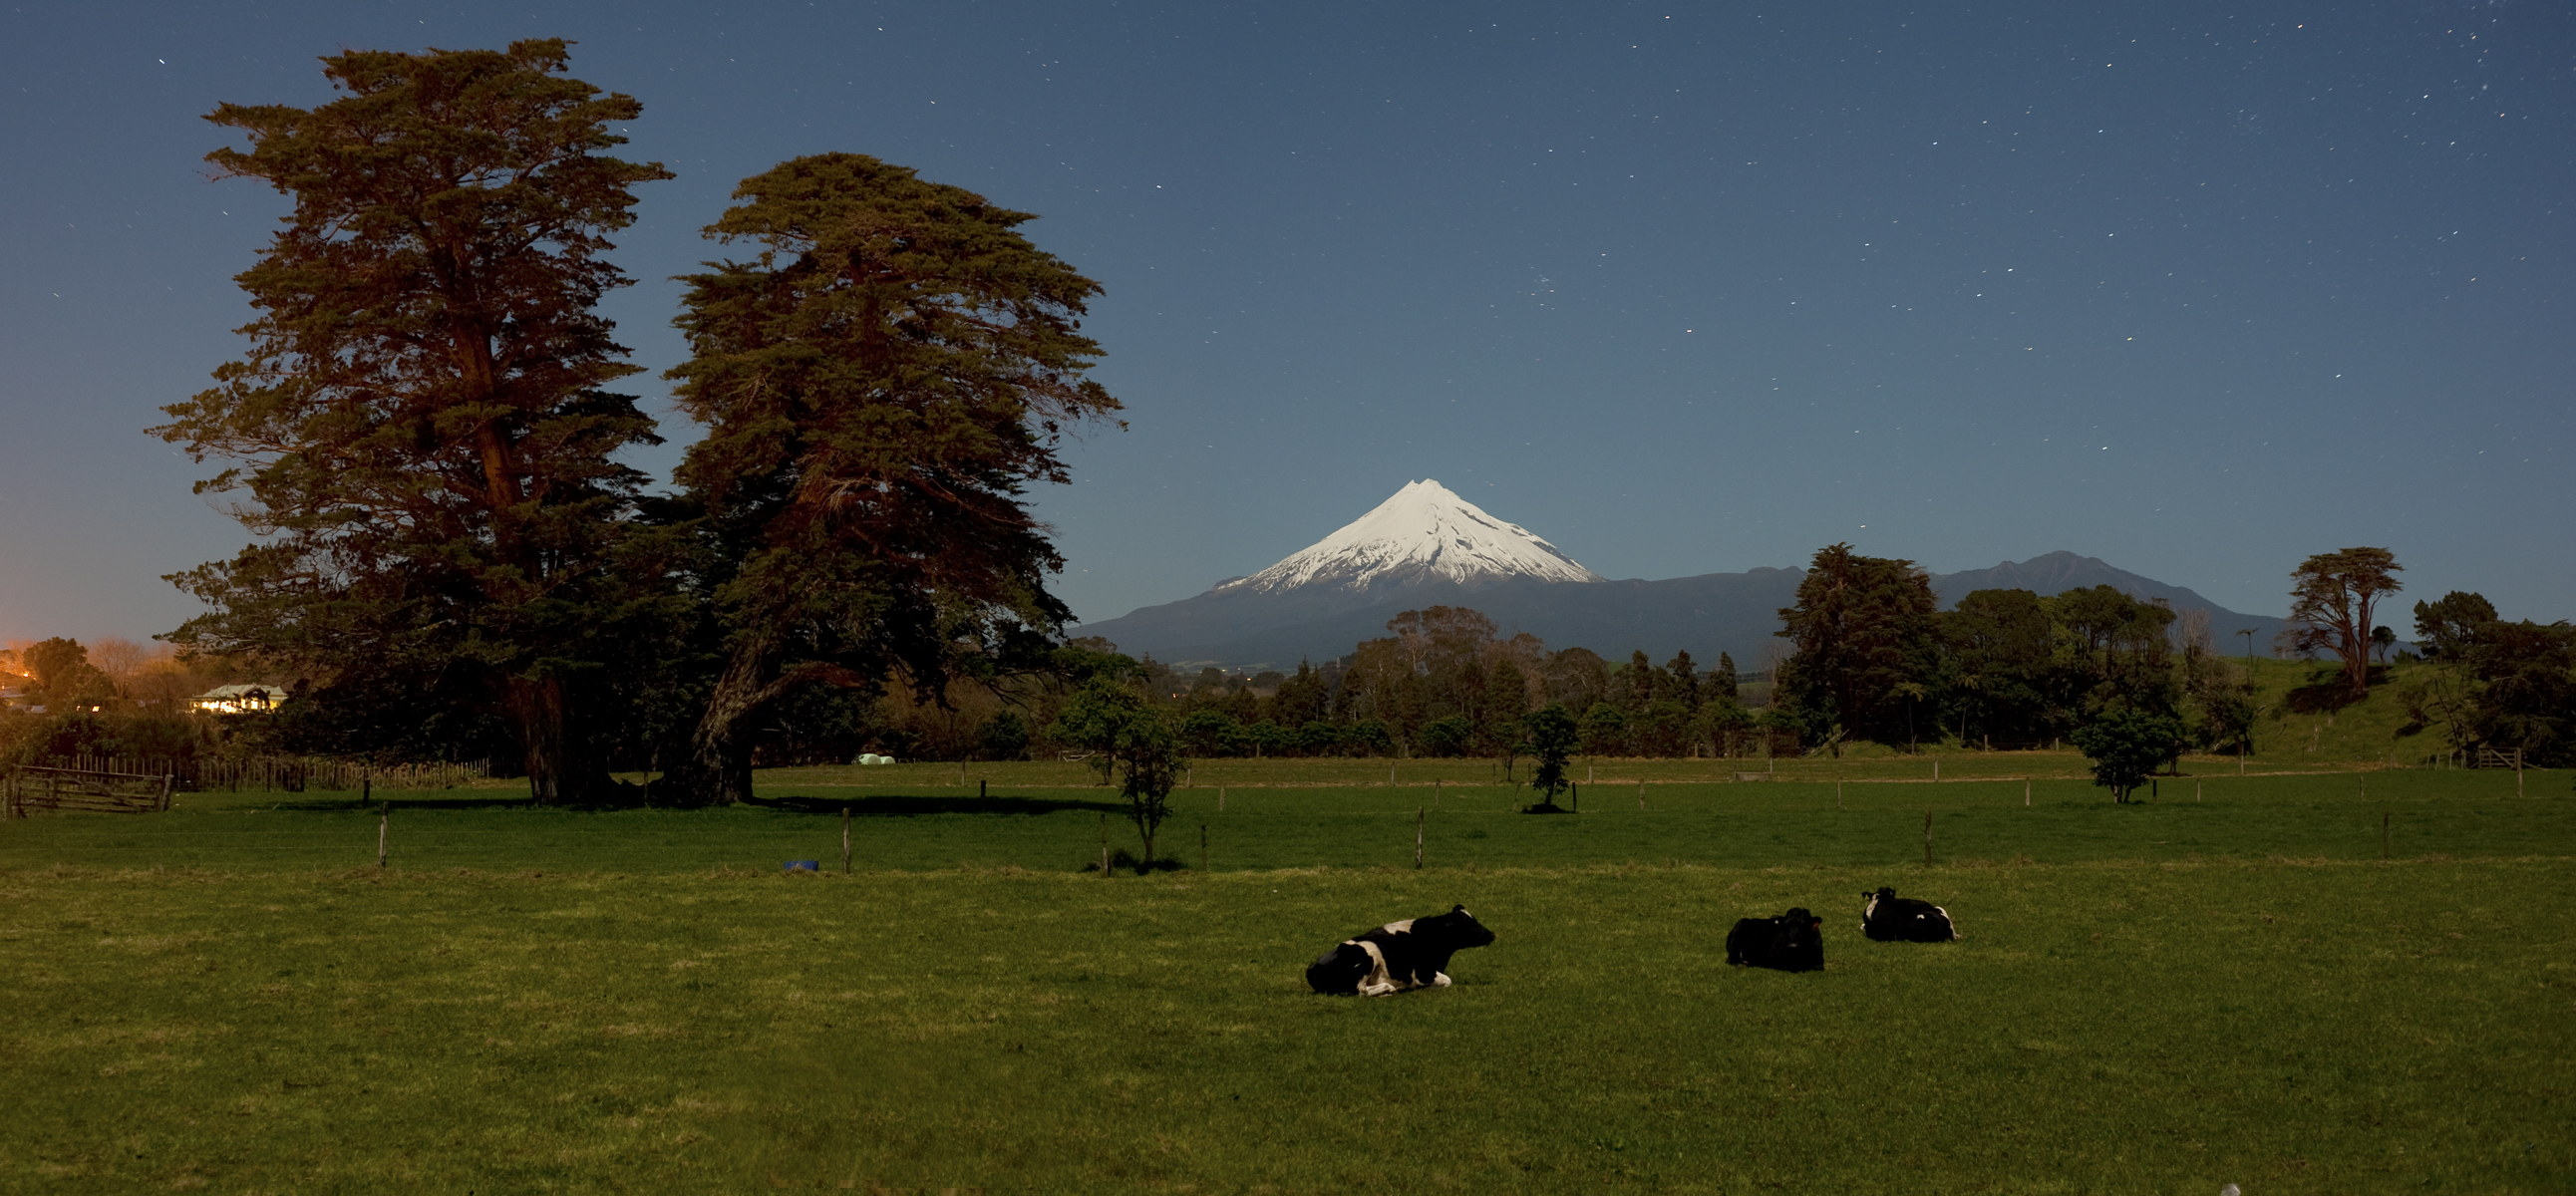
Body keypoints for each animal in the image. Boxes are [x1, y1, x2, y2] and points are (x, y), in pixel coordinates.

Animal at [1308, 902, 1493, 995]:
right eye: (1469, 924)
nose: (1492, 934)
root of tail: (1313, 966)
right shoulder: (1422, 973)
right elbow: (1447, 980)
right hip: (1369, 957)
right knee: (1360, 990)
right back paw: (1390, 988)